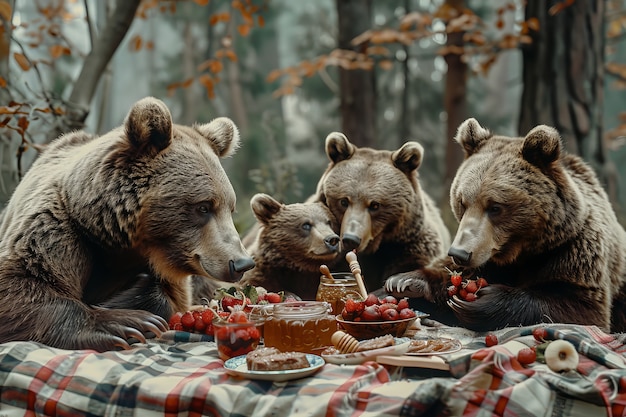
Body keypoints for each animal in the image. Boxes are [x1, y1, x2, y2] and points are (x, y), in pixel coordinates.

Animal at [0, 96, 256, 350]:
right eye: (204, 206)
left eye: (230, 208)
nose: (241, 263)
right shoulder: (59, 228)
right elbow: (22, 279)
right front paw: (122, 323)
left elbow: (170, 297)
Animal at [382, 117, 624, 332]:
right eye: (462, 202)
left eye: (495, 207)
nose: (460, 253)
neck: (521, 251)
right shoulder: (485, 259)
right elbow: (447, 273)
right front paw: (405, 282)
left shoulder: (572, 250)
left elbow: (581, 307)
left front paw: (483, 302)